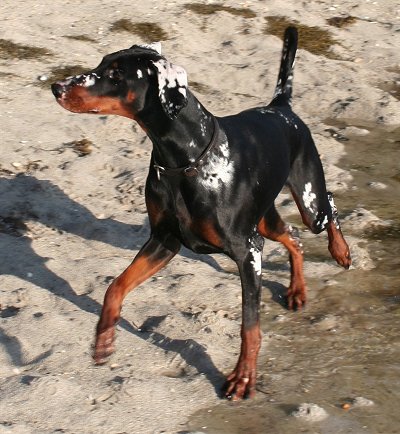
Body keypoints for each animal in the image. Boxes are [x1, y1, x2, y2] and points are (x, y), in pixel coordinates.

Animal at [51, 27, 352, 400]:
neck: (184, 163)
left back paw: (340, 251)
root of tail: (280, 107)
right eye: (102, 63)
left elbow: (249, 326)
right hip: (265, 220)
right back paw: (297, 290)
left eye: (117, 75)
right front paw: (104, 338)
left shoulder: (248, 251)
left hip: (309, 204)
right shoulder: (164, 242)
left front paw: (243, 377)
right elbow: (115, 287)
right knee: (293, 237)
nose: (57, 87)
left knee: (329, 207)